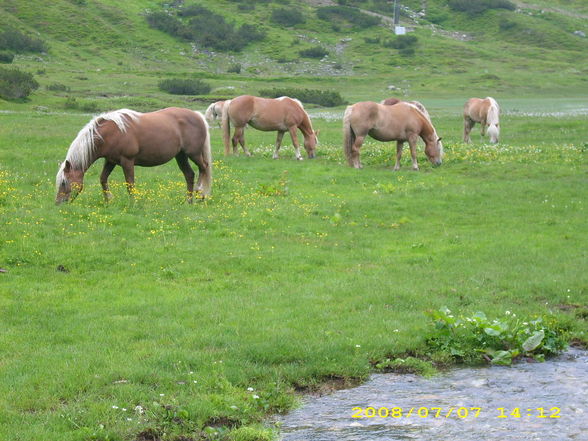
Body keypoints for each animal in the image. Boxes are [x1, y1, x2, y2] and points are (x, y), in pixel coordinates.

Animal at [54, 106, 211, 205]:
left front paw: (133, 204)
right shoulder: (110, 161)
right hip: (181, 156)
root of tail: (197, 115)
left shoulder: (127, 161)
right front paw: (108, 200)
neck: (111, 133)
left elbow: (130, 184)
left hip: (194, 153)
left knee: (204, 168)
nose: (58, 204)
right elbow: (103, 179)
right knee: (189, 175)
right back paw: (188, 201)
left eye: (64, 182)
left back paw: (200, 194)